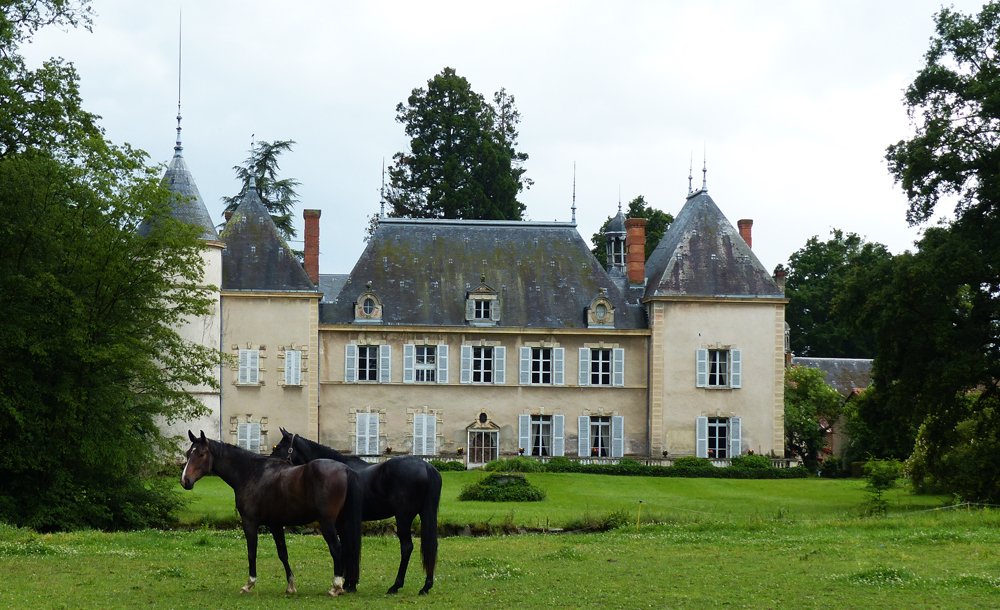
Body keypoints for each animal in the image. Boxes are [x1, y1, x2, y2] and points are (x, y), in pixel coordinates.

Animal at [181, 430, 362, 596]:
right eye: (188, 453)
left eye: (201, 454)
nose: (185, 481)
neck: (252, 473)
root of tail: (345, 469)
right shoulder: (275, 524)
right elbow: (283, 553)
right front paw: (291, 586)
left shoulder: (250, 523)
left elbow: (252, 552)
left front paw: (249, 584)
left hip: (327, 523)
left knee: (337, 548)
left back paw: (336, 586)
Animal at [270, 428, 441, 595]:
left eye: (278, 447)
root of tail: (427, 467)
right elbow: (347, 547)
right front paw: (348, 583)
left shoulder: (340, 522)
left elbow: (346, 547)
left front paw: (346, 584)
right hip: (425, 515)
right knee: (430, 546)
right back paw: (426, 586)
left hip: (403, 517)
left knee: (406, 547)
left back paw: (395, 586)